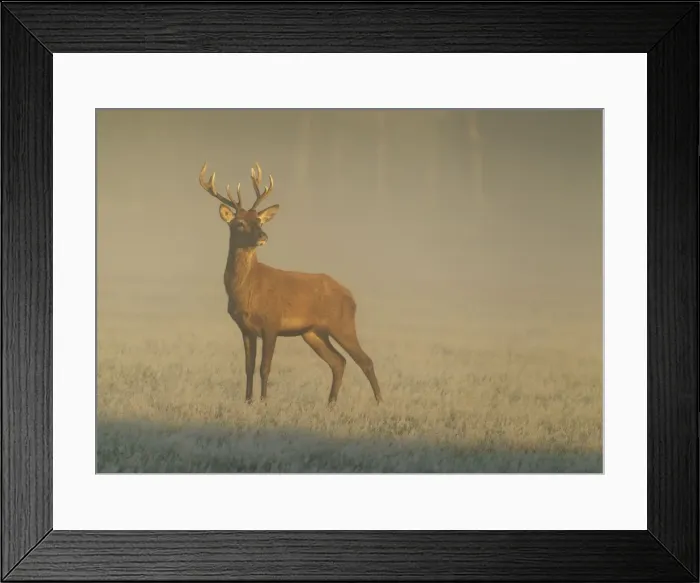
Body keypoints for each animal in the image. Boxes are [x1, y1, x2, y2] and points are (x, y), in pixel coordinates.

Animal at [197, 161, 383, 407]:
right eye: (240, 223)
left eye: (258, 220)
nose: (263, 236)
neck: (247, 290)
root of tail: (350, 295)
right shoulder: (245, 328)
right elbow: (248, 367)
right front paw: (248, 401)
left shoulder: (272, 322)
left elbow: (265, 367)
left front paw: (264, 401)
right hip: (313, 332)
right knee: (339, 361)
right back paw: (331, 404)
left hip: (343, 324)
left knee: (365, 360)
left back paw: (380, 402)